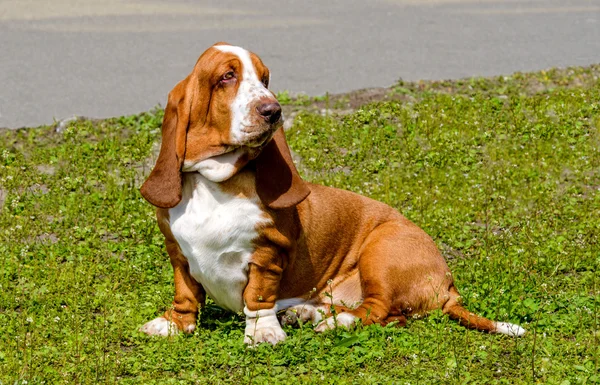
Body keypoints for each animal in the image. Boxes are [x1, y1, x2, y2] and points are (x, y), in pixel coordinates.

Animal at [141, 42, 524, 344]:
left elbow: (258, 296)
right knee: (389, 315)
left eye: (265, 80)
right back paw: (306, 313)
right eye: (227, 77)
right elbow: (186, 293)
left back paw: (334, 322)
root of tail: (448, 286)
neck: (213, 181)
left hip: (381, 251)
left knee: (381, 310)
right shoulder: (178, 253)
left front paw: (263, 333)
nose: (274, 112)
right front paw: (173, 324)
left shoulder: (267, 254)